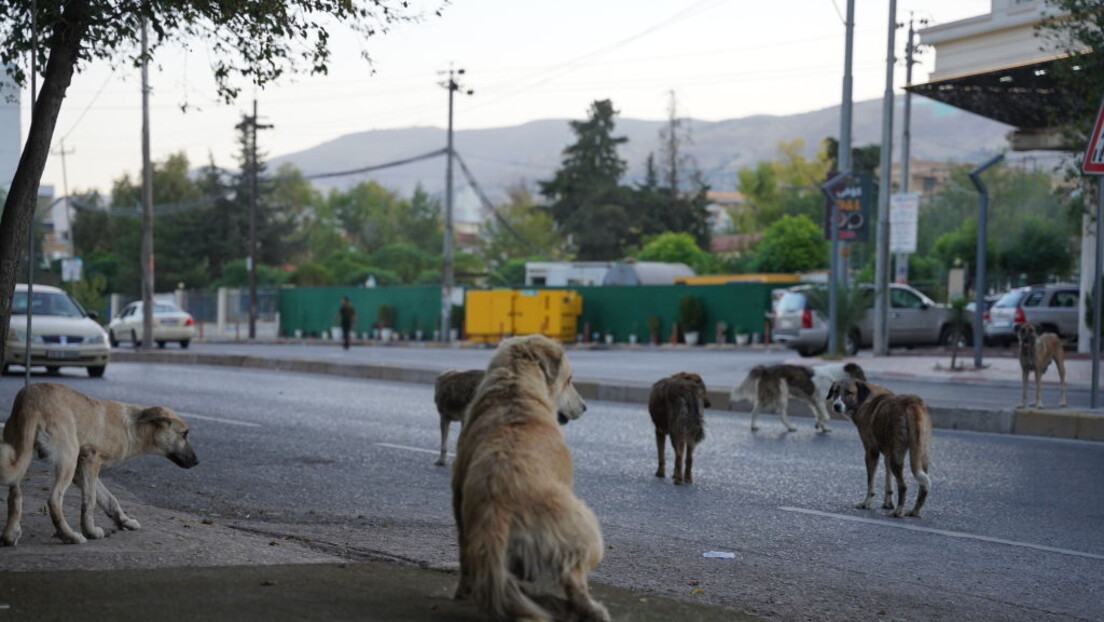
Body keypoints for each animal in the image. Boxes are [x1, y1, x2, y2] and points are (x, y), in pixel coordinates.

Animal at [1, 382, 198, 547]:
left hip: (21, 451)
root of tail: (30, 399)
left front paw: (124, 521)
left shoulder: (80, 471)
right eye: (184, 434)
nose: (197, 462)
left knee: (14, 494)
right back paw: (69, 536)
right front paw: (90, 531)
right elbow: (91, 501)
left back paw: (10, 535)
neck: (133, 426)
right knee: (54, 500)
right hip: (68, 458)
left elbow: (109, 498)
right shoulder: (90, 459)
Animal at [448, 335, 609, 622]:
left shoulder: (457, 486)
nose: (585, 407)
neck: (515, 390)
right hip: (587, 526)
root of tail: (497, 509)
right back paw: (591, 609)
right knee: (573, 580)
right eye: (569, 379)